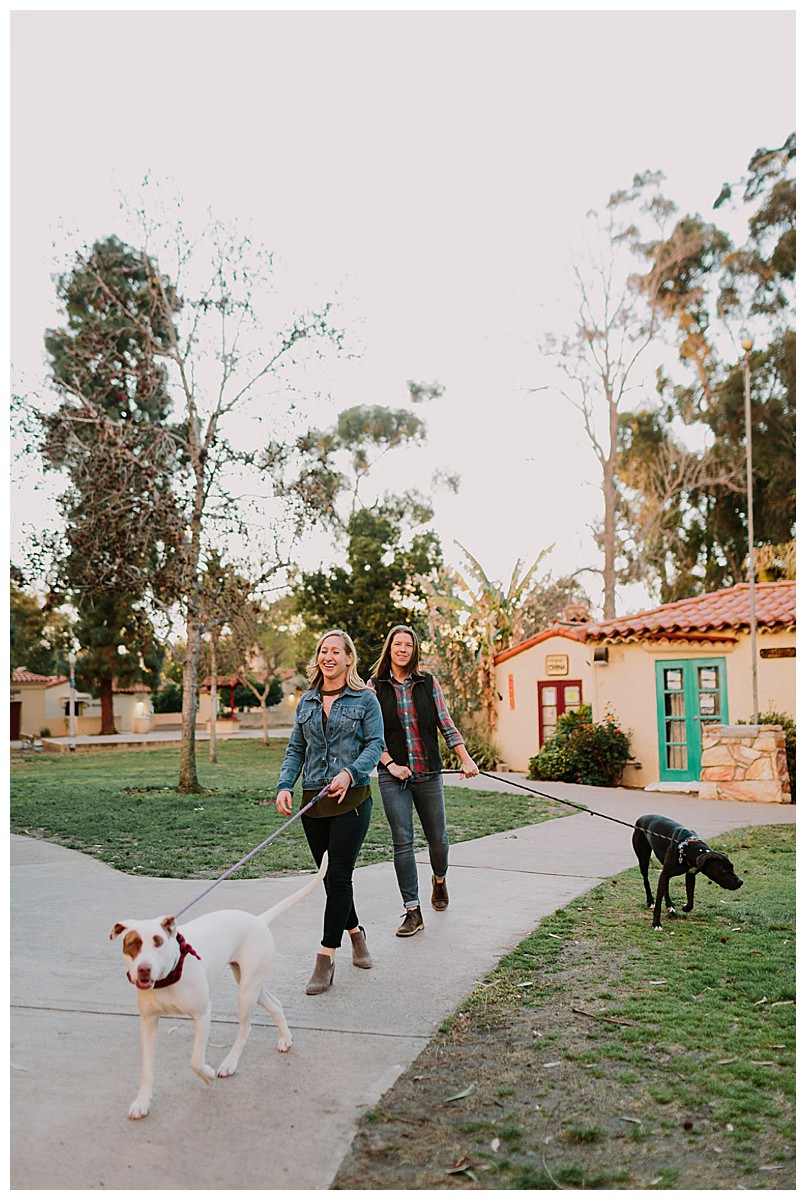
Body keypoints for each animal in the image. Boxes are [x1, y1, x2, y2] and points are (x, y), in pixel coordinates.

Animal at [110, 854, 326, 1113]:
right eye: (132, 944)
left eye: (158, 941)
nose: (144, 969)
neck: (168, 976)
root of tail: (258, 920)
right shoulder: (149, 1022)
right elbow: (146, 1069)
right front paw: (142, 1102)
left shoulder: (203, 1013)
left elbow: (195, 1060)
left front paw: (207, 1074)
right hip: (250, 983)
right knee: (275, 1004)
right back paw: (285, 1039)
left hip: (246, 992)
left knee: (245, 1029)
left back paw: (229, 1064)